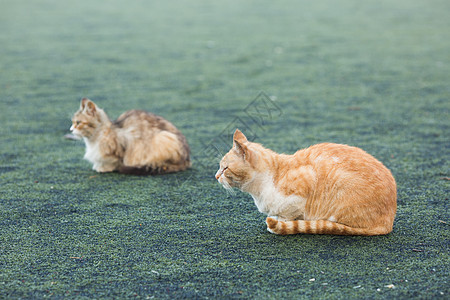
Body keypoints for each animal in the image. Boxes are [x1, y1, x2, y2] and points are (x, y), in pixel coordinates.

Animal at [216, 129, 396, 234]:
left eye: (225, 168)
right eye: (220, 167)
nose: (216, 176)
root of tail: (389, 222)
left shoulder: (305, 182)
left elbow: (288, 215)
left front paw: (280, 222)